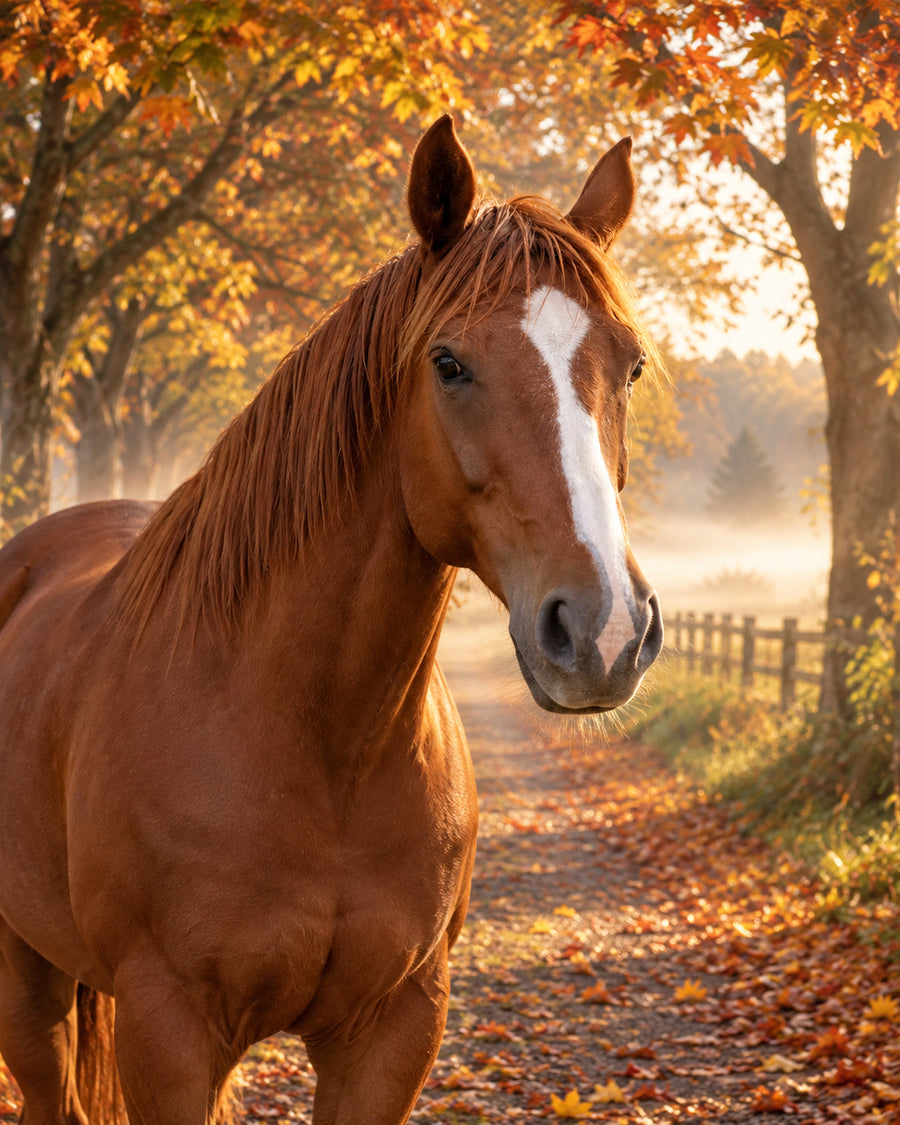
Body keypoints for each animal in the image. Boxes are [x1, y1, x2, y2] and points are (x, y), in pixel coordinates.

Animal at [0, 115, 662, 1124]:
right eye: (449, 362)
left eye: (629, 364)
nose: (603, 632)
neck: (314, 741)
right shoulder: (170, 1034)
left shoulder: (392, 1029)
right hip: (25, 979)